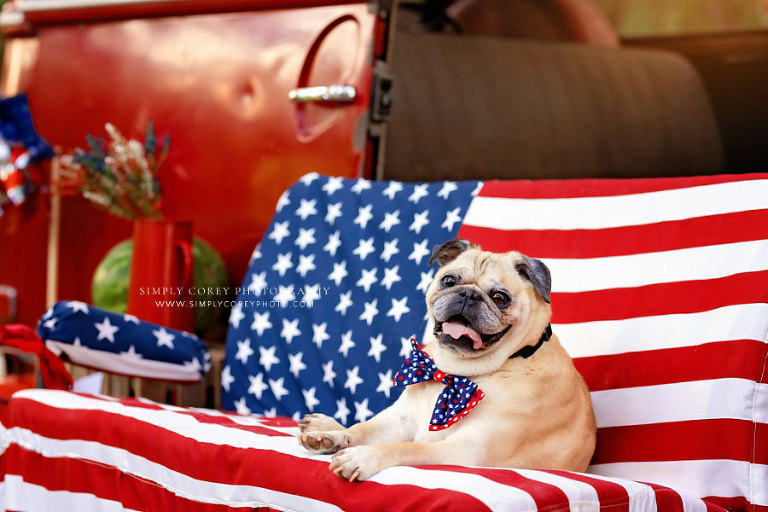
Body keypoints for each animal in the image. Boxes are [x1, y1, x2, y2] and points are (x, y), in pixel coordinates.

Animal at [296, 239, 596, 480]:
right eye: (449, 281)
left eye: (500, 297)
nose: (468, 294)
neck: (457, 373)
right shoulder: (400, 419)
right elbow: (361, 428)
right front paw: (333, 437)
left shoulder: (468, 450)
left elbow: (408, 447)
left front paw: (363, 457)